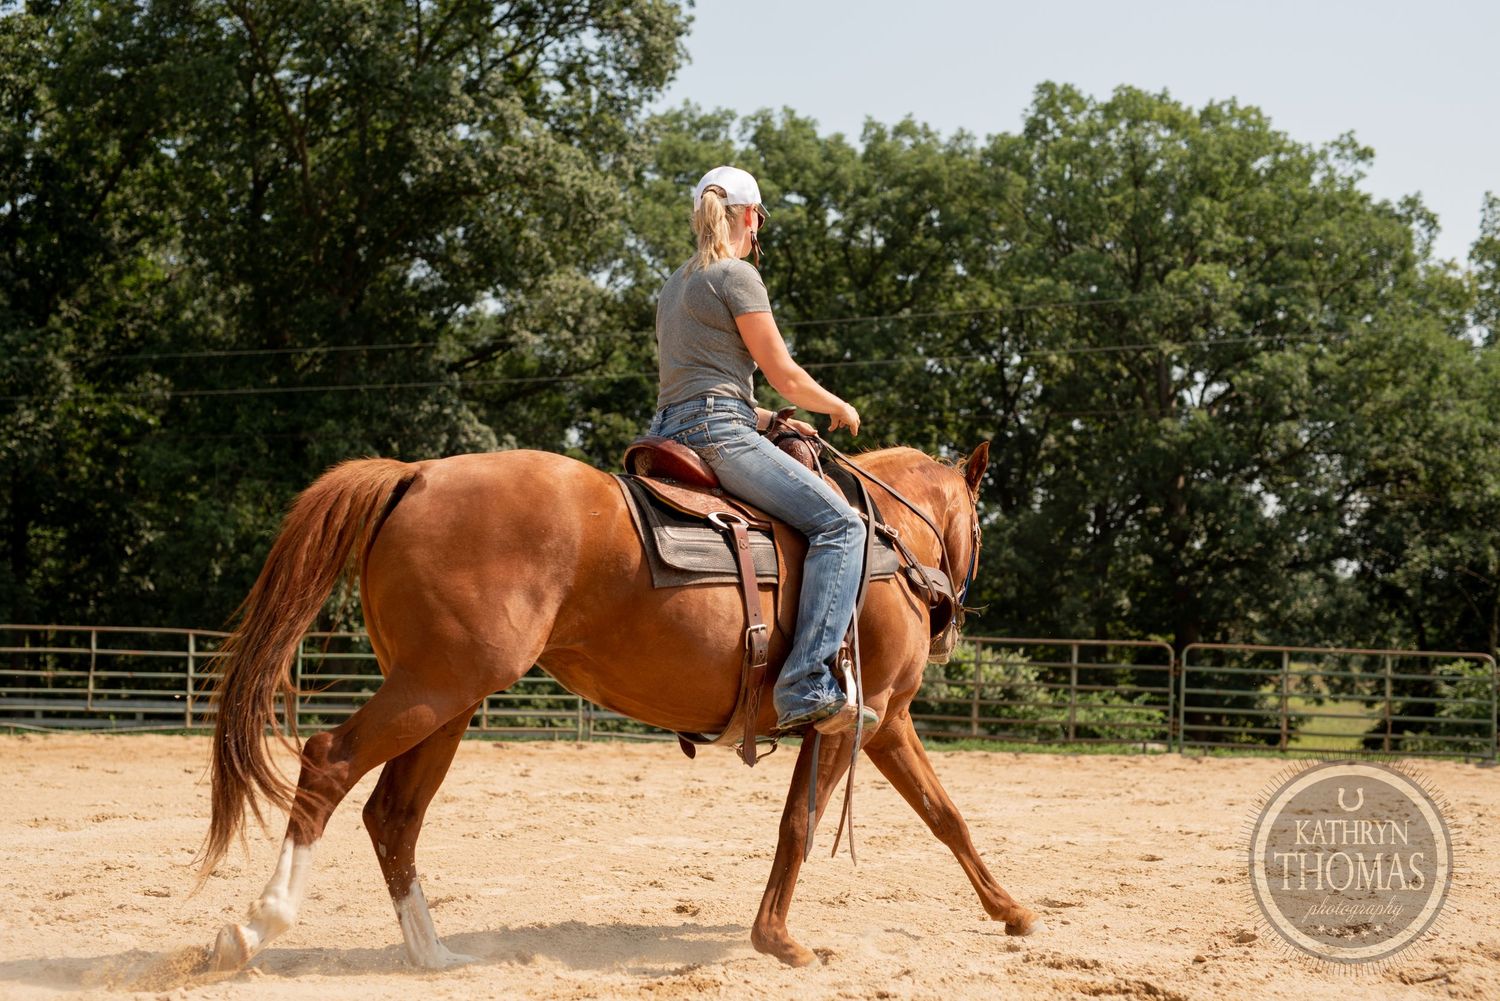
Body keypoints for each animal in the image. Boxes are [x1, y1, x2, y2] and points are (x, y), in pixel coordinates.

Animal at [199, 442, 1040, 972]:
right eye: (979, 524)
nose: (950, 621)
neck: (878, 542)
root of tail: (418, 475)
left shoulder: (881, 723)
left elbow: (945, 816)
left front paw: (1013, 911)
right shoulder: (862, 719)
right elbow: (802, 825)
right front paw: (777, 939)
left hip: (447, 698)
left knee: (393, 815)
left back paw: (433, 954)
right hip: (434, 688)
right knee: (329, 763)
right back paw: (258, 924)